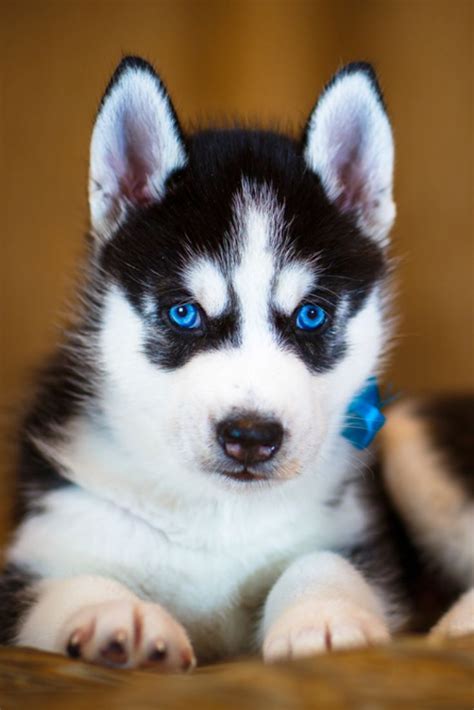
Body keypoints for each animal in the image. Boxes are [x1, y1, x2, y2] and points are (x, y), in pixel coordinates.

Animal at [1, 57, 472, 672]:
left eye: (312, 315)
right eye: (183, 312)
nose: (251, 436)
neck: (216, 514)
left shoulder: (359, 538)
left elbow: (322, 560)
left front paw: (323, 616)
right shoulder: (50, 534)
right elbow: (68, 583)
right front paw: (115, 616)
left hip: (411, 442)